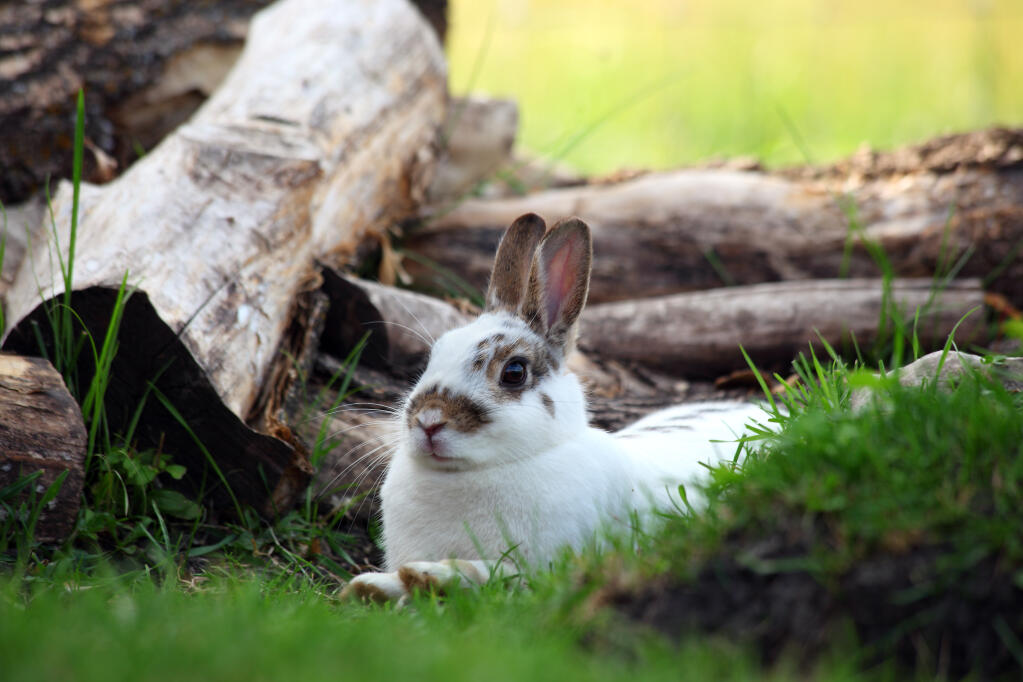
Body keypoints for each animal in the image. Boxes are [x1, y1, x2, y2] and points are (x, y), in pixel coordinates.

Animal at [341, 213, 767, 603]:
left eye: (514, 372)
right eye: (433, 356)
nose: (429, 421)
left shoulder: (543, 566)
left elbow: (495, 573)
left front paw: (429, 575)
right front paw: (371, 585)